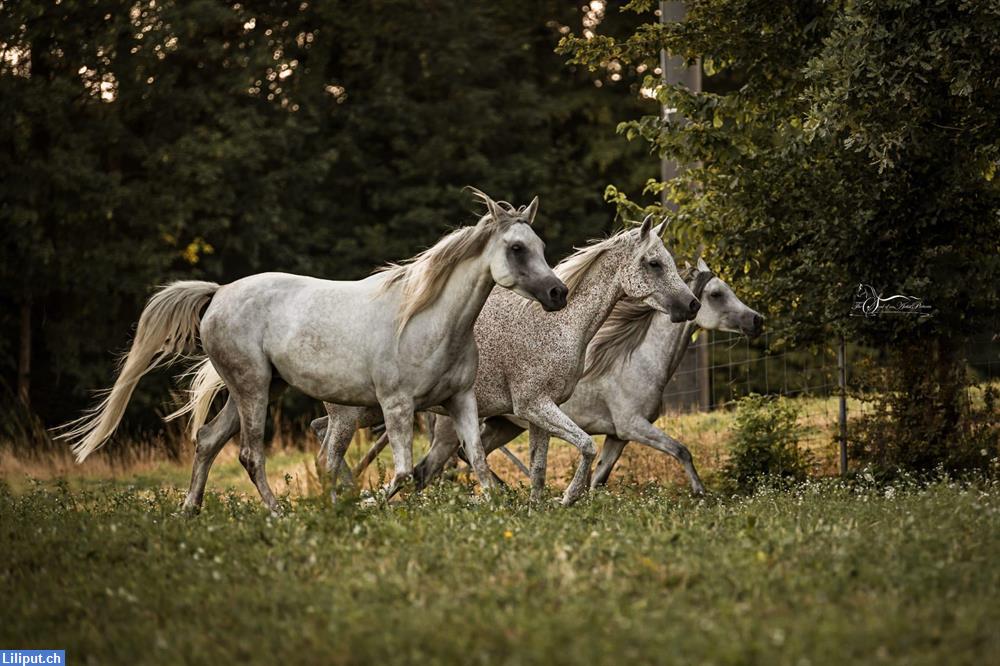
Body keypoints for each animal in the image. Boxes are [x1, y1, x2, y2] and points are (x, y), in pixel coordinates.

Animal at [58, 189, 568, 510]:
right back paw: (278, 514)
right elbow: (402, 473)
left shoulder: (459, 401)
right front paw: (364, 505)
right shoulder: (397, 406)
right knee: (249, 455)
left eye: (540, 245)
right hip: (253, 389)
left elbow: (478, 462)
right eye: (517, 248)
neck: (428, 321)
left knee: (206, 442)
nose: (558, 293)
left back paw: (190, 511)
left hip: (254, 389)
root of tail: (218, 293)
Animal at [316, 217, 700, 504]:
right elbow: (587, 447)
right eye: (654, 263)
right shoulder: (535, 405)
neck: (558, 324)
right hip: (354, 415)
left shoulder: (538, 414)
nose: (692, 304)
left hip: (372, 412)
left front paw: (538, 507)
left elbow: (539, 469)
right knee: (331, 460)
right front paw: (569, 497)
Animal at [422, 260, 764, 492]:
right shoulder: (633, 426)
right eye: (716, 294)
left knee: (469, 455)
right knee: (436, 465)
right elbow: (682, 450)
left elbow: (599, 477)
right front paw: (700, 492)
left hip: (504, 425)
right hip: (453, 432)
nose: (757, 320)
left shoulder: (618, 436)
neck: (637, 362)